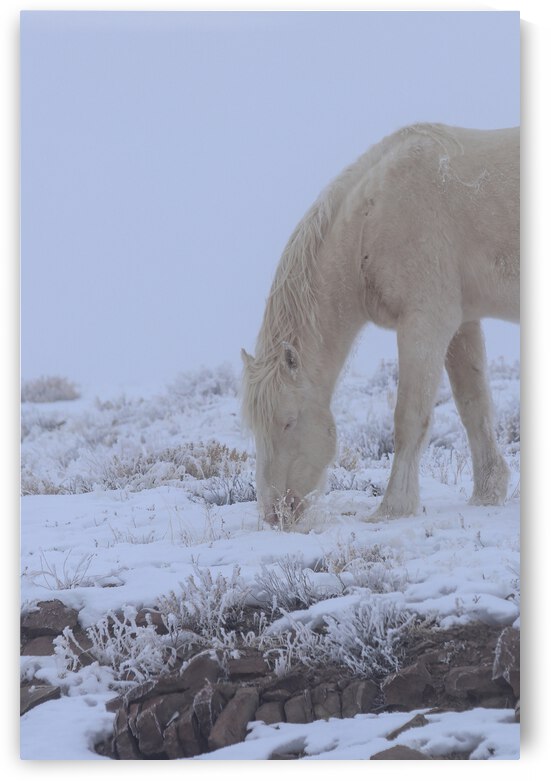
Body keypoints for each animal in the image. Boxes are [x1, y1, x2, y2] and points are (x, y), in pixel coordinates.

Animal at [241, 123, 519, 525]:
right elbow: (474, 408)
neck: (371, 218)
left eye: (289, 421)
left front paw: (393, 507)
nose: (274, 513)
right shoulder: (462, 324)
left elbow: (409, 418)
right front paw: (487, 494)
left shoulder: (426, 323)